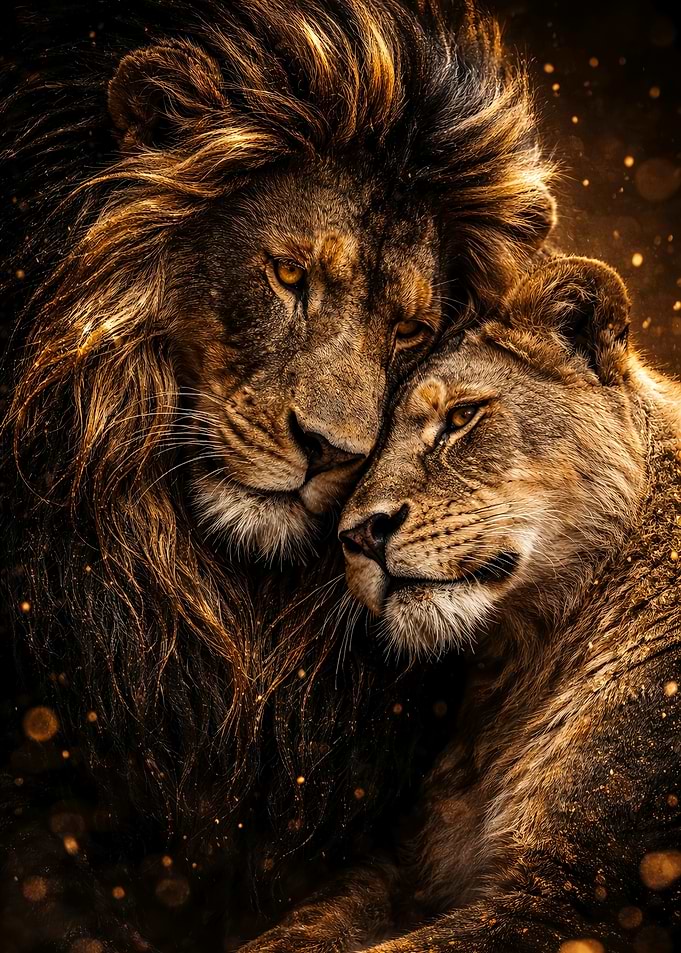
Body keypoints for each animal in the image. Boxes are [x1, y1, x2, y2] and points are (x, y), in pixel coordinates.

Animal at [238, 256, 681, 951]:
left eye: (460, 418)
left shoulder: (569, 896)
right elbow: (307, 926)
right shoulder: (409, 864)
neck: (526, 669)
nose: (359, 535)